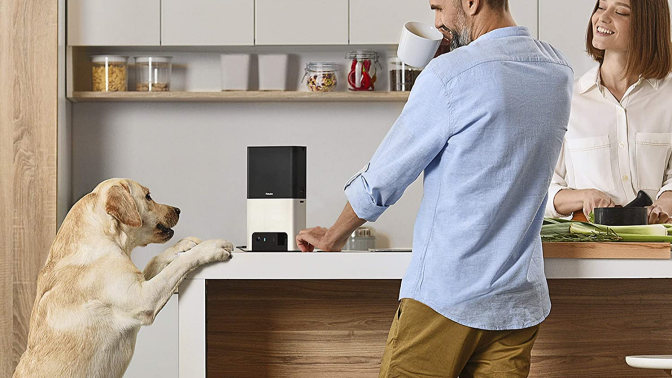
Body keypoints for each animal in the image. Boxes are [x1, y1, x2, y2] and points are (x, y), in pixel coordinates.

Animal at [13, 179, 234, 376]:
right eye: (148, 196)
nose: (178, 209)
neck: (104, 237)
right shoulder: (143, 299)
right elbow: (179, 265)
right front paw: (212, 246)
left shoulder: (140, 282)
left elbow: (157, 259)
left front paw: (185, 244)